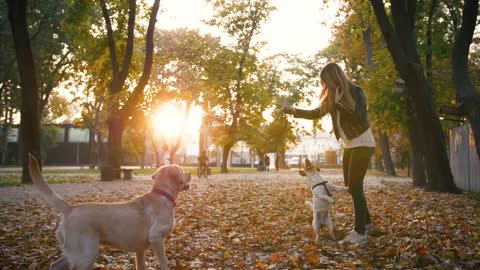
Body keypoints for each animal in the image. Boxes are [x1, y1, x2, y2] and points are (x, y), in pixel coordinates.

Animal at [28, 154, 191, 270]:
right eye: (182, 170)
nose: (190, 173)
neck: (162, 195)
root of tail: (70, 208)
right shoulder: (156, 238)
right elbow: (164, 262)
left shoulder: (139, 251)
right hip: (87, 254)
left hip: (73, 252)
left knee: (54, 265)